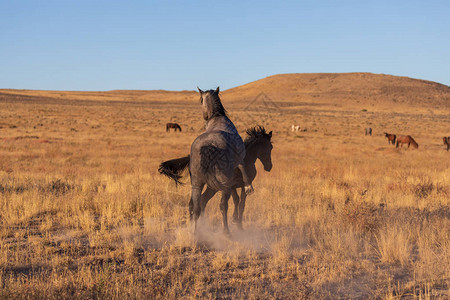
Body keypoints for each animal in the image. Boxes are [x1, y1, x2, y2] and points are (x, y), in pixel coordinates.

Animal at [158, 87, 251, 234]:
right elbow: (243, 169)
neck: (217, 118)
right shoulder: (240, 158)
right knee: (222, 206)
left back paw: (195, 232)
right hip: (223, 184)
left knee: (195, 207)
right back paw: (226, 232)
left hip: (197, 184)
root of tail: (206, 148)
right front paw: (248, 187)